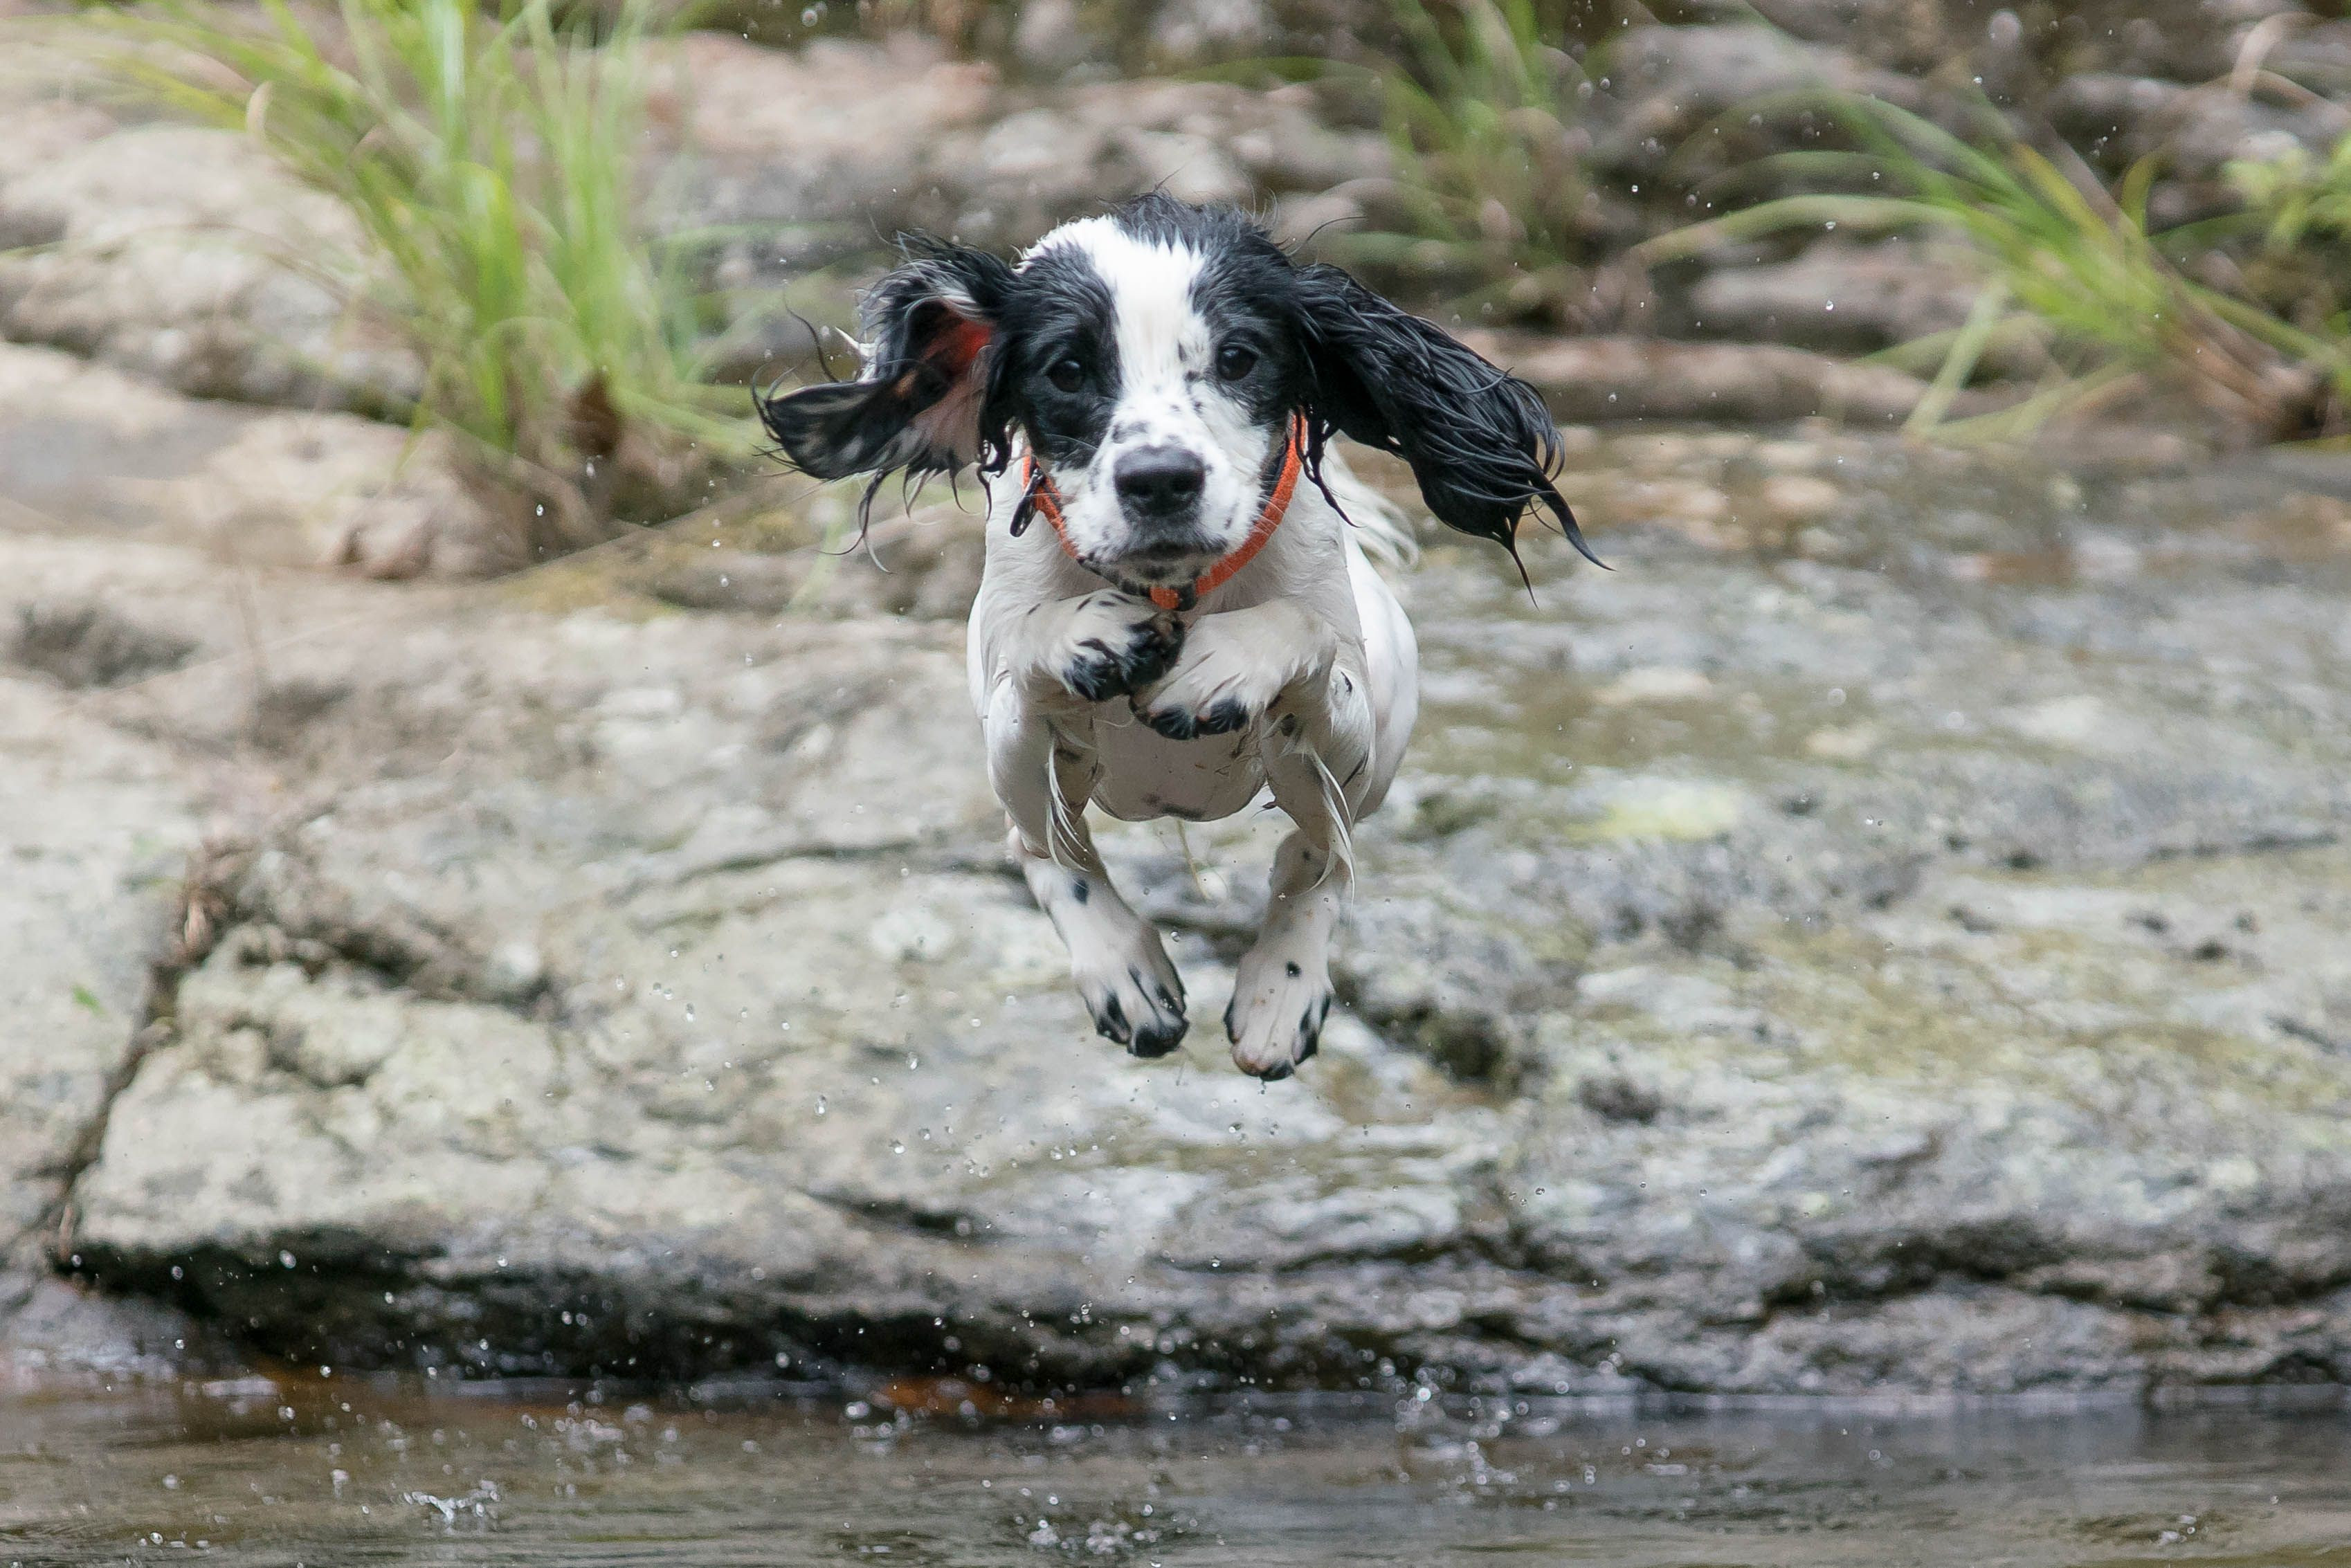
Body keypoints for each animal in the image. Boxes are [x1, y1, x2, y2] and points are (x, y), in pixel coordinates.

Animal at [760, 195, 1589, 1080]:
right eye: (1067, 370)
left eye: (1238, 358)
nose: (1159, 478)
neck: (1172, 586)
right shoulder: (1007, 704)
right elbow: (1029, 653)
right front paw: (1086, 635)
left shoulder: (1353, 725)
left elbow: (1301, 636)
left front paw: (1219, 665)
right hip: (1024, 768)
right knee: (1045, 849)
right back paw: (1127, 975)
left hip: (1380, 734)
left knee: (1318, 859)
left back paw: (1279, 993)